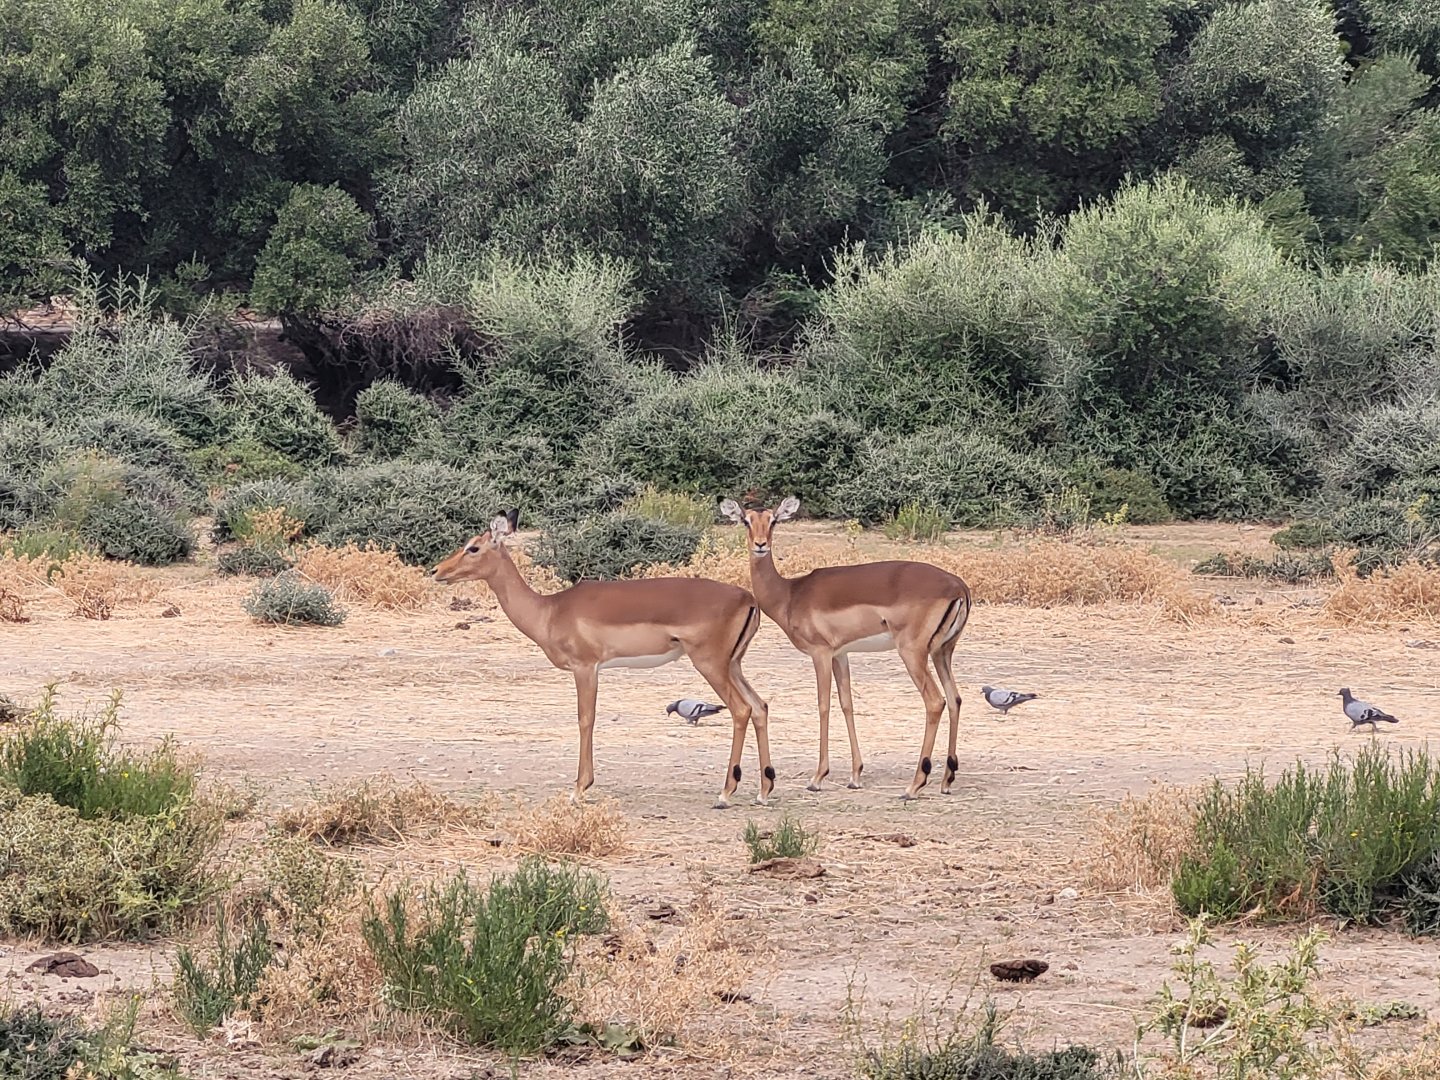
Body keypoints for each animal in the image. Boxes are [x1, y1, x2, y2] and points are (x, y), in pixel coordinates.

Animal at [432, 510, 774, 808]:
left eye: (473, 547)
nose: (436, 571)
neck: (549, 611)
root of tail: (747, 598)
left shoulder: (585, 667)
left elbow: (586, 719)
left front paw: (579, 789)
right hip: (733, 665)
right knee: (760, 706)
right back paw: (763, 791)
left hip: (710, 664)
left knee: (741, 709)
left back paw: (725, 794)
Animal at [720, 496, 972, 800]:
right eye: (746, 520)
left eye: (773, 520)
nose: (760, 544)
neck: (790, 594)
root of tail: (958, 586)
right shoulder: (841, 654)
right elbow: (847, 704)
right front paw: (855, 776)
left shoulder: (820, 653)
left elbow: (823, 705)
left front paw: (817, 777)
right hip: (941, 652)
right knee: (955, 698)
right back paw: (947, 779)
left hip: (913, 653)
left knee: (935, 701)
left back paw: (914, 786)